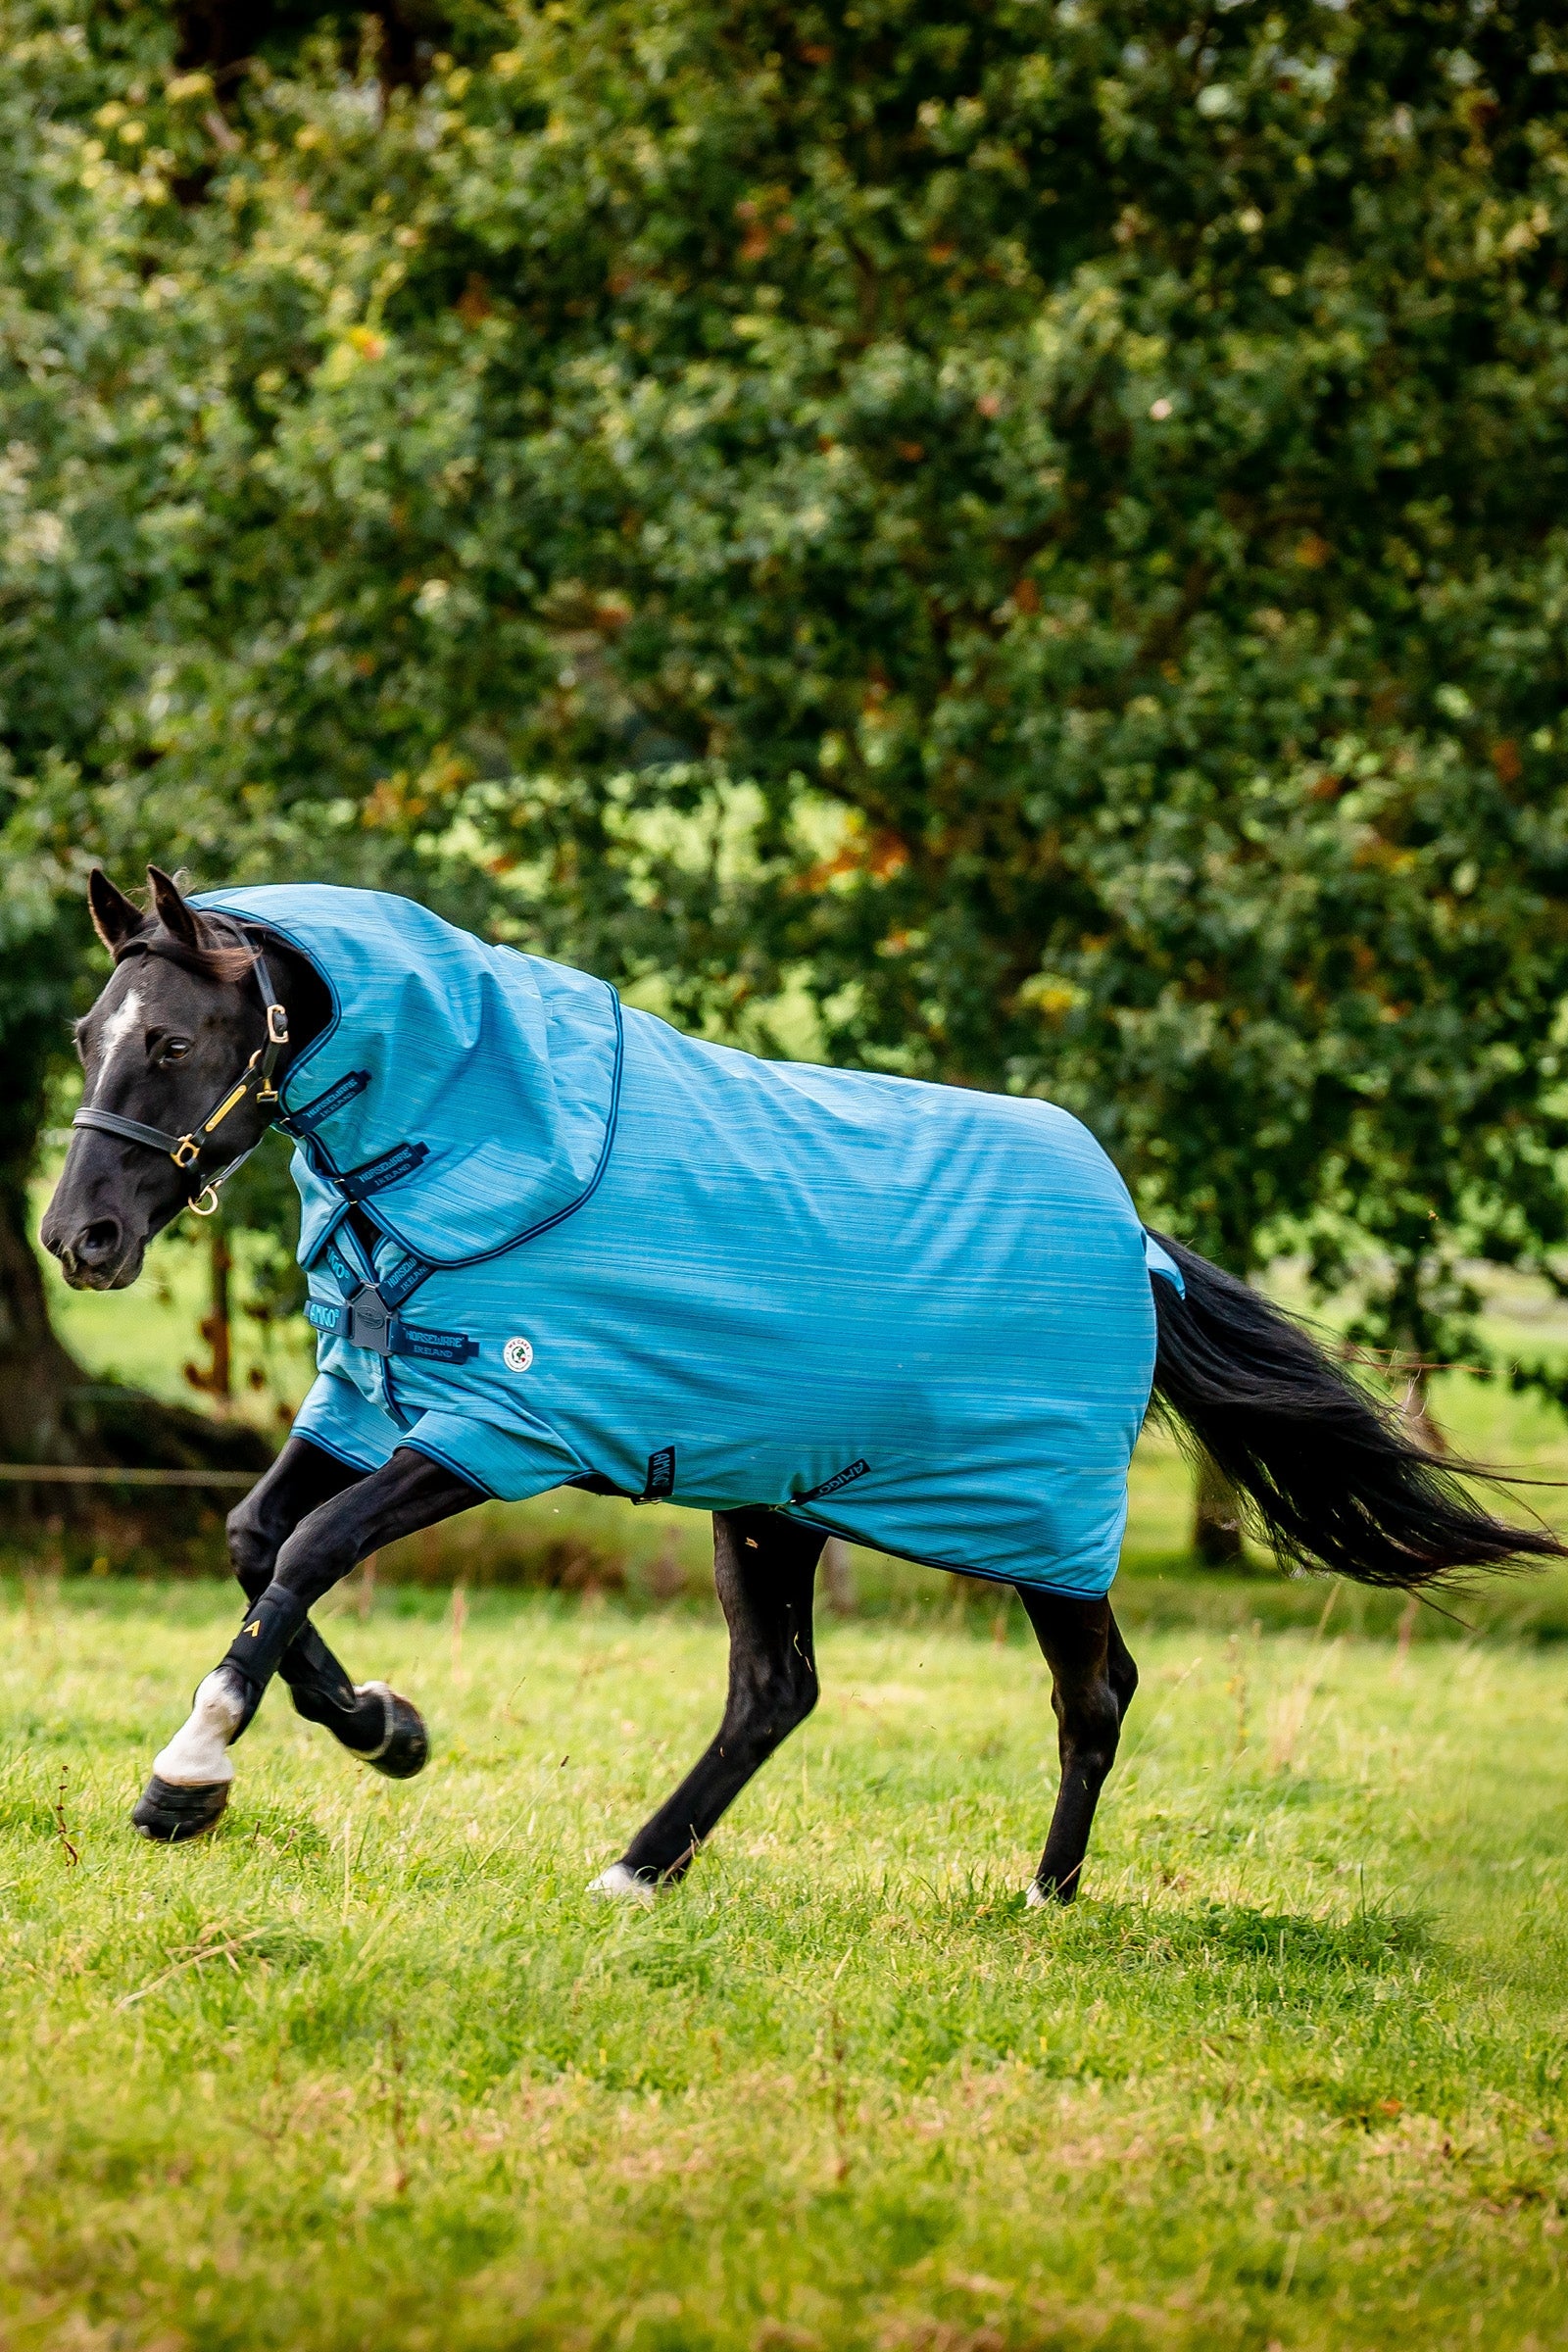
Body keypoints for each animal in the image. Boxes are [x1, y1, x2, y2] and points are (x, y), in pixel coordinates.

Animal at [40, 865, 1564, 1898]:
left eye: (171, 1043)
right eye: (85, 1037)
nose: (79, 1238)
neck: (482, 1133)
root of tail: (1137, 1244)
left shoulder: (505, 1424)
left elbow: (306, 1553)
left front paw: (189, 1779)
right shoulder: (371, 1398)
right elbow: (255, 1541)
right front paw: (385, 1731)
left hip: (1042, 1529)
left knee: (1096, 1695)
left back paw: (1044, 1899)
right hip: (770, 1503)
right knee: (776, 1694)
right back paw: (637, 1873)